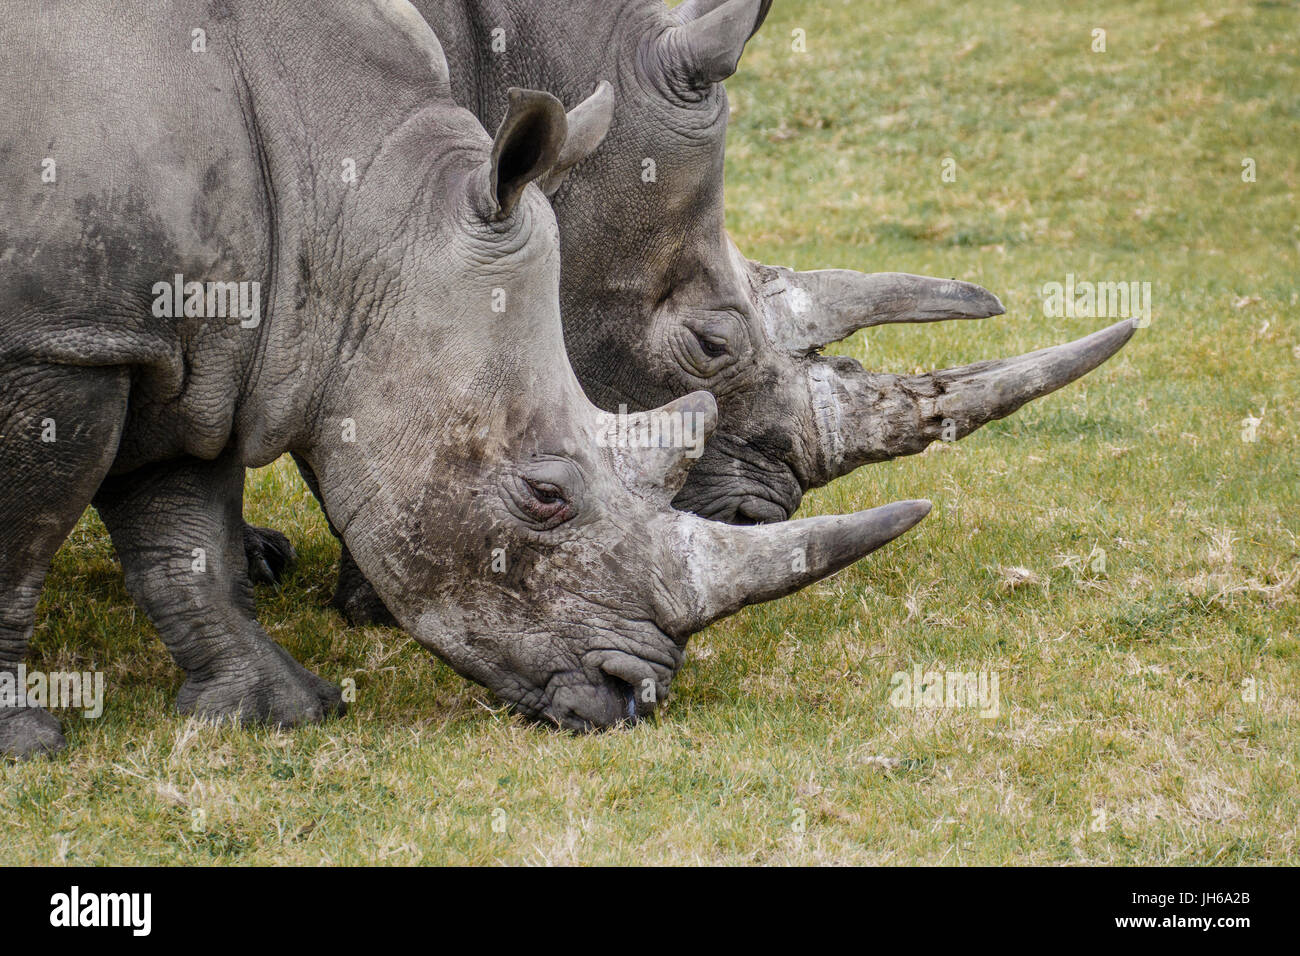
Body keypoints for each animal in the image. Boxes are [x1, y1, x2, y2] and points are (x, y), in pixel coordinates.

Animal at [0, 0, 933, 758]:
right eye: (710, 343)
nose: (635, 695)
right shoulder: (71, 340)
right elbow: (28, 530)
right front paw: (25, 745)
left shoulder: (184, 339)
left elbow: (184, 527)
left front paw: (275, 710)